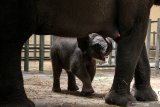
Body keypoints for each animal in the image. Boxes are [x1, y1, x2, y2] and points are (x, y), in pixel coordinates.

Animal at [0, 0, 159, 107]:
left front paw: (148, 98)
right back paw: (23, 103)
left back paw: (73, 89)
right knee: (13, 36)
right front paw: (122, 102)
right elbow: (133, 29)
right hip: (52, 51)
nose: (110, 36)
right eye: (96, 46)